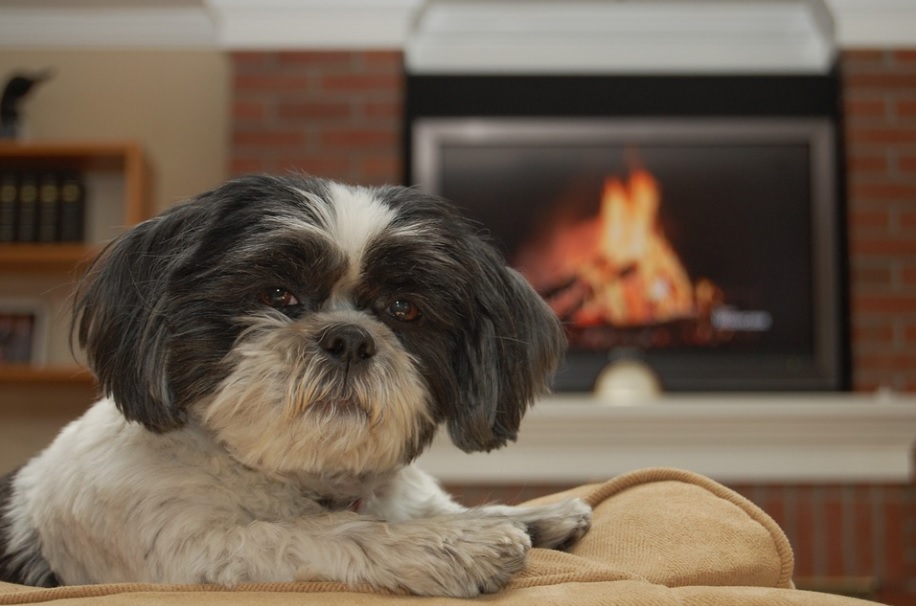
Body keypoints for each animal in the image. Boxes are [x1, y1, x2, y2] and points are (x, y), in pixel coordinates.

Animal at [0, 175, 592, 600]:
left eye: (404, 309)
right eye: (277, 294)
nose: (350, 338)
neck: (299, 477)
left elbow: (435, 508)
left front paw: (527, 516)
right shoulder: (190, 550)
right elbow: (311, 533)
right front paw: (451, 544)